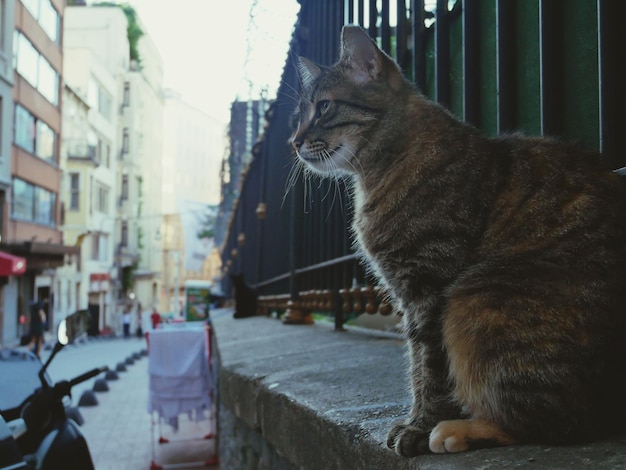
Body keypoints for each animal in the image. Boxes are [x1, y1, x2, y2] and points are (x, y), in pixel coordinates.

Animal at [290, 24, 624, 456]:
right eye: (300, 115)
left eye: (324, 107)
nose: (294, 141)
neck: (379, 172)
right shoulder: (409, 295)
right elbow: (417, 361)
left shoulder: (430, 287)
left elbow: (431, 368)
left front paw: (421, 425)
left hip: (473, 299)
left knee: (556, 421)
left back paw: (454, 430)